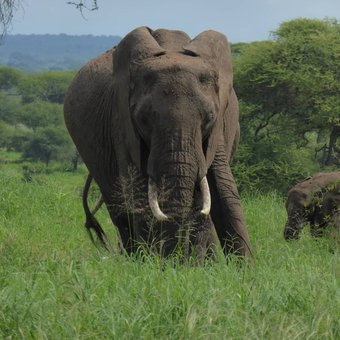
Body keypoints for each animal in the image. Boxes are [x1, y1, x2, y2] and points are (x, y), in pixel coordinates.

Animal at [63, 26, 252, 258]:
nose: (178, 261)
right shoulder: (122, 122)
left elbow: (224, 192)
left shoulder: (218, 133)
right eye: (143, 119)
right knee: (120, 214)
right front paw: (151, 263)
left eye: (209, 117)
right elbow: (139, 194)